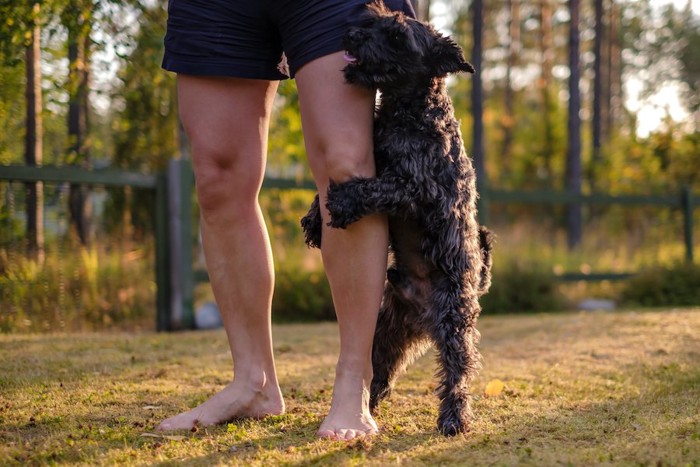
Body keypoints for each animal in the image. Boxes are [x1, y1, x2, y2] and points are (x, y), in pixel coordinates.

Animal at [300, 0, 492, 438]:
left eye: (397, 37)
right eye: (373, 20)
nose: (352, 35)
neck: (407, 110)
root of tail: (423, 315)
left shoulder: (417, 187)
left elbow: (375, 187)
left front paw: (342, 202)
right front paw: (314, 219)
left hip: (454, 326)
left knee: (457, 375)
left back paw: (453, 419)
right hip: (386, 332)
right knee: (381, 374)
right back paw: (365, 409)